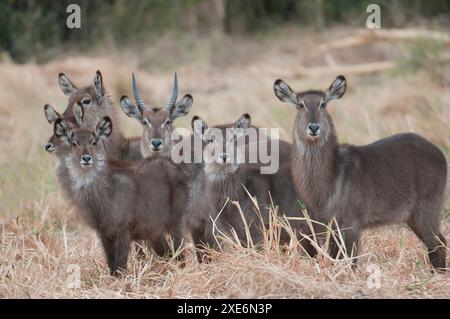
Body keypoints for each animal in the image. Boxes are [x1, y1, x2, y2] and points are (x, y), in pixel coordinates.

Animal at [51, 117, 187, 276]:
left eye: (94, 142)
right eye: (74, 143)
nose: (86, 158)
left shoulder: (124, 228)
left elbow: (121, 262)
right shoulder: (103, 232)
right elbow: (111, 262)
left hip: (175, 220)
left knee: (179, 249)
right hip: (154, 230)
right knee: (167, 252)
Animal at [274, 75, 446, 272]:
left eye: (323, 104)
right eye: (300, 105)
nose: (314, 127)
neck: (333, 176)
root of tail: (440, 153)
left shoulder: (351, 224)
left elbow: (350, 259)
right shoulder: (330, 224)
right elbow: (335, 257)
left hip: (427, 207)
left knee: (437, 242)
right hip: (413, 215)